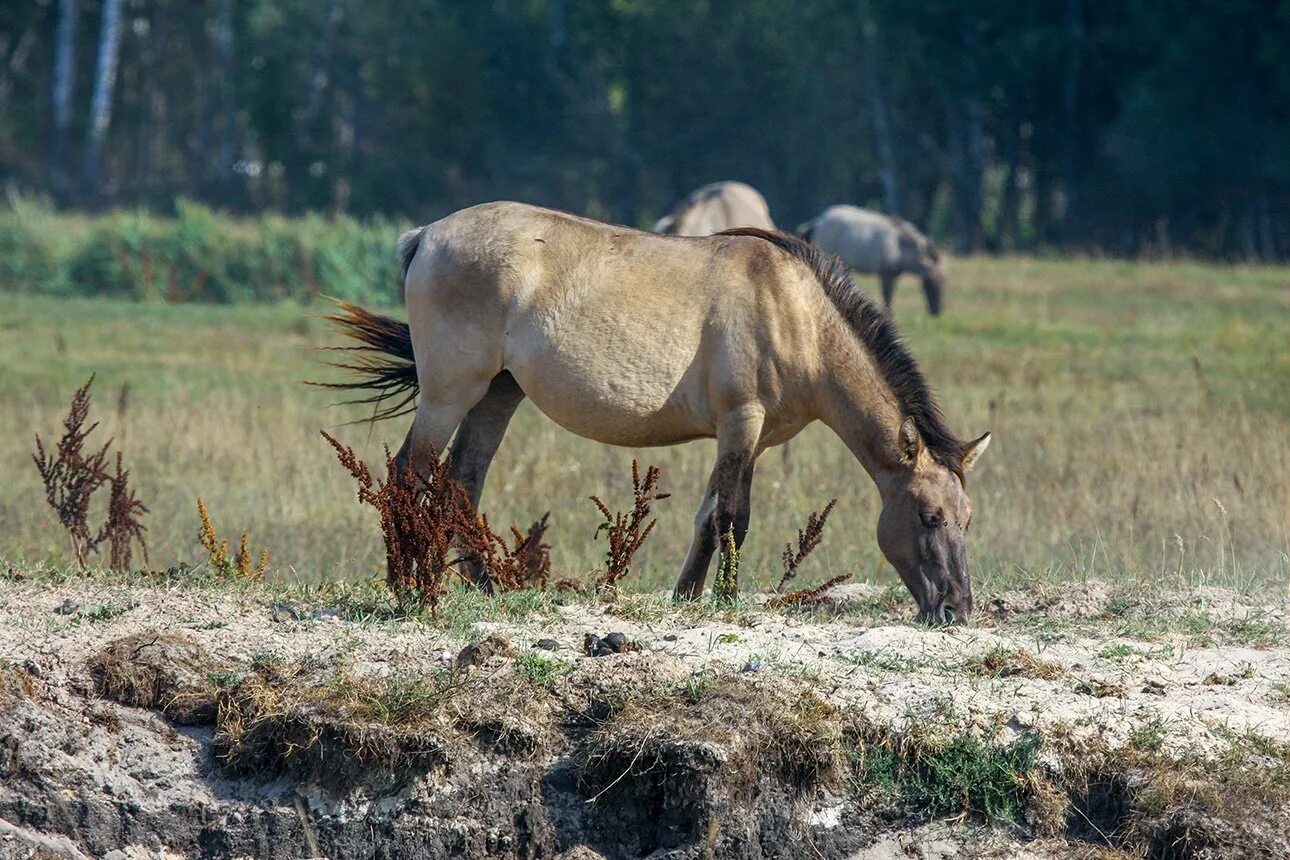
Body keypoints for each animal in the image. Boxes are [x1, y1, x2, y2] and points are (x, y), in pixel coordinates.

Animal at [794, 205, 949, 315]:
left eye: (943, 282)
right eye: (929, 284)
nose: (936, 311)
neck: (899, 244)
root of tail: (818, 223)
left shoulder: (893, 276)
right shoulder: (886, 275)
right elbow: (887, 297)